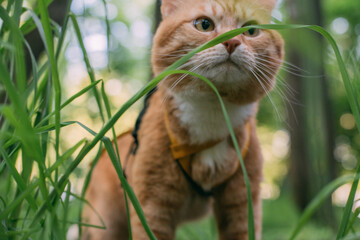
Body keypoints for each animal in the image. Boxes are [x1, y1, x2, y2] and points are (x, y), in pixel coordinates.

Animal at [82, 0, 284, 239]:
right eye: (204, 24)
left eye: (251, 30)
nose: (232, 41)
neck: (213, 111)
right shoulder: (152, 205)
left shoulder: (243, 201)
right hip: (108, 224)